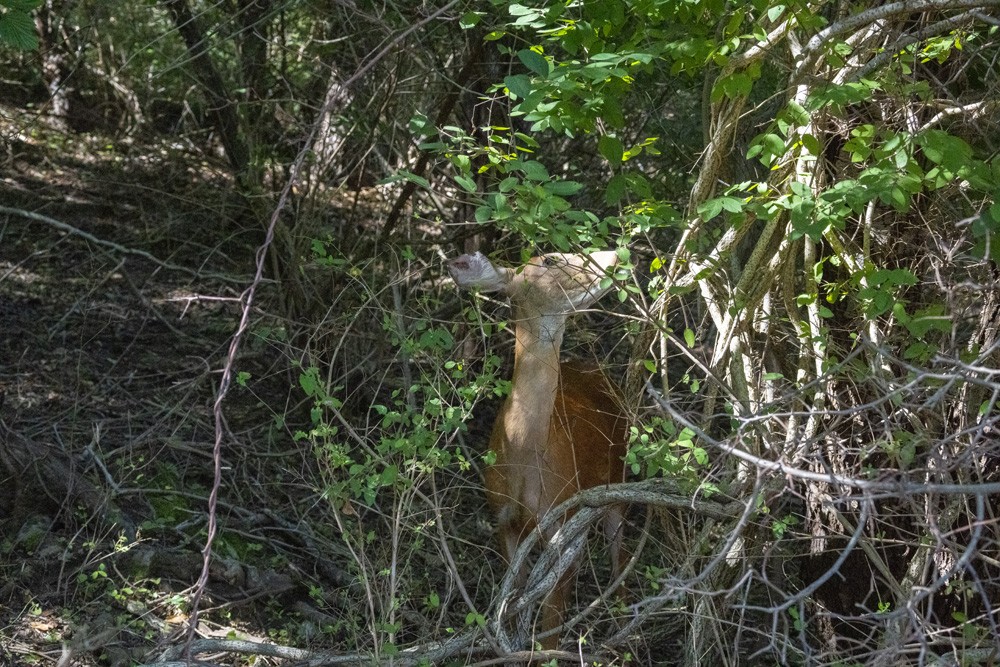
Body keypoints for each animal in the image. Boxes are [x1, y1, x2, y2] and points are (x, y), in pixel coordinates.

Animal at [450, 248, 628, 648]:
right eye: (549, 259)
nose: (614, 255)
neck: (522, 456)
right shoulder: (503, 520)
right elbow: (513, 601)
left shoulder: (558, 523)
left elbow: (550, 629)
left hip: (618, 476)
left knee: (618, 552)